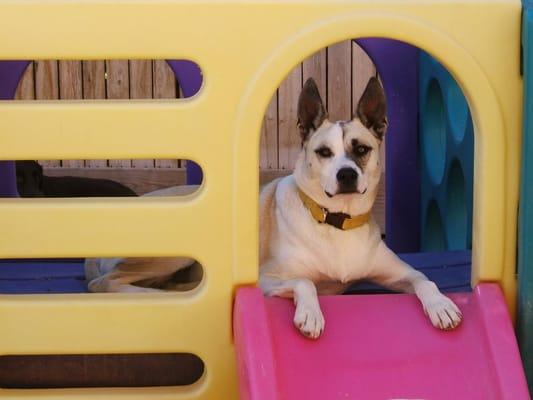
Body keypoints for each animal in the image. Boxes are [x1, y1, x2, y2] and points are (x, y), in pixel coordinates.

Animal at [83, 79, 462, 340]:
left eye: (361, 149)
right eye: (324, 152)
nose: (346, 175)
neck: (335, 221)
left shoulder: (398, 273)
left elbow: (424, 278)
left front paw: (441, 305)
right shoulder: (268, 279)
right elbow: (305, 283)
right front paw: (310, 314)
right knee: (104, 283)